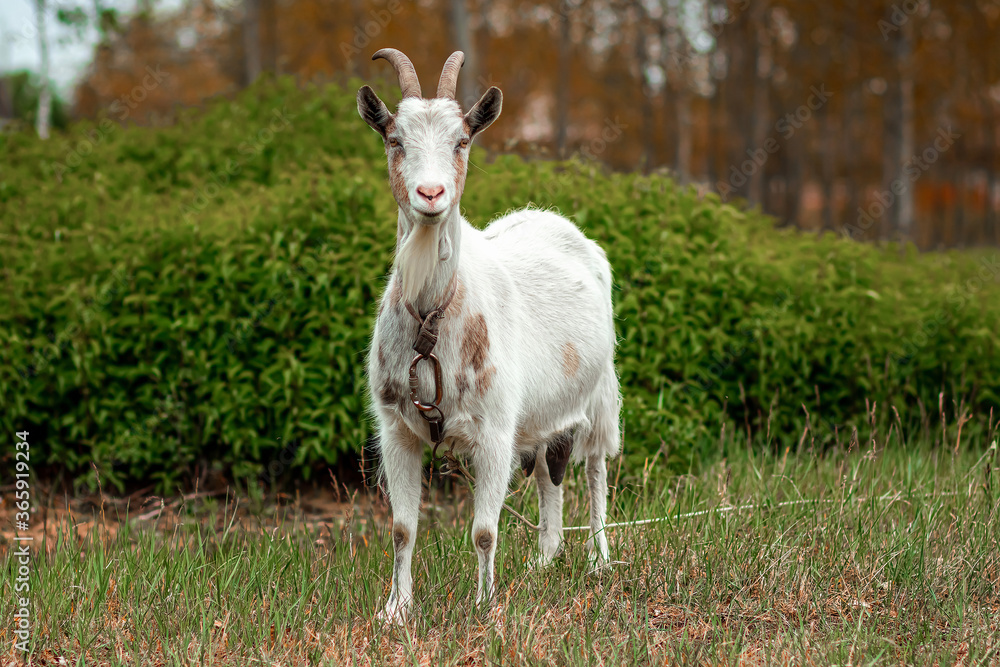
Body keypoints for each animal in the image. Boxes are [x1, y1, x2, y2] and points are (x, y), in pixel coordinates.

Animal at [362, 49, 616, 624]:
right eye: (395, 139)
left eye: (461, 140)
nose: (431, 193)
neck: (433, 319)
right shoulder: (397, 428)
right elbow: (402, 529)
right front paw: (395, 610)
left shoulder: (495, 430)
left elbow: (482, 531)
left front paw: (484, 606)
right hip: (543, 416)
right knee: (549, 474)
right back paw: (546, 560)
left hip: (600, 398)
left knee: (595, 471)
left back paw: (599, 560)